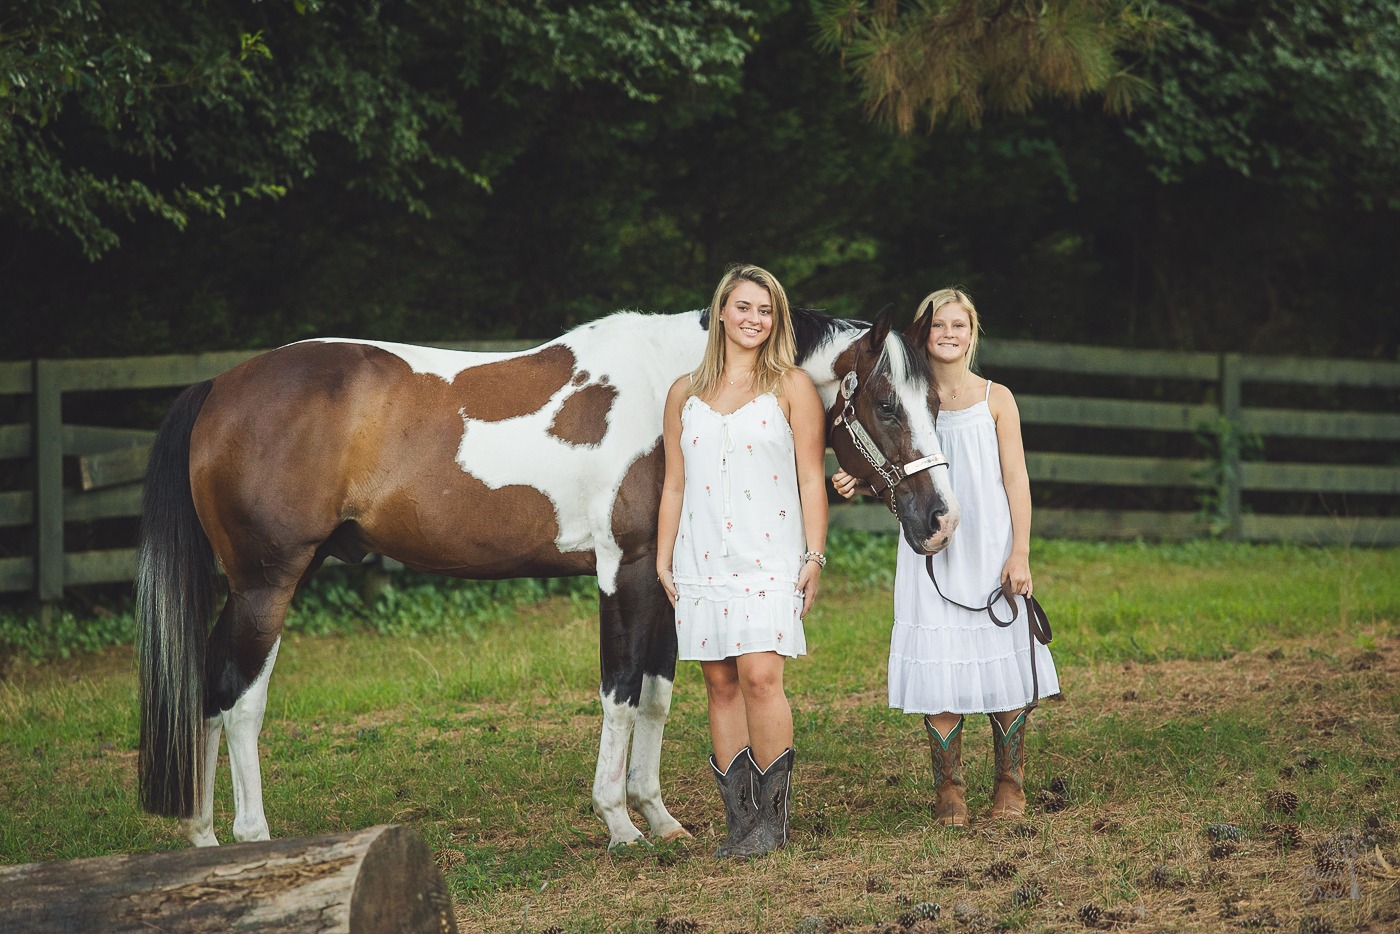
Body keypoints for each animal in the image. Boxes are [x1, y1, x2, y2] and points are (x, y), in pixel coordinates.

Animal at [136, 305, 957, 845]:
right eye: (887, 404)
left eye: (937, 399)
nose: (940, 520)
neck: (673, 386)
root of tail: (219, 386)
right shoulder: (622, 573)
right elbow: (619, 693)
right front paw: (619, 823)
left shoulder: (664, 581)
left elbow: (656, 697)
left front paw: (660, 818)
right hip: (267, 585)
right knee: (238, 702)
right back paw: (252, 837)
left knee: (206, 694)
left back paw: (204, 841)